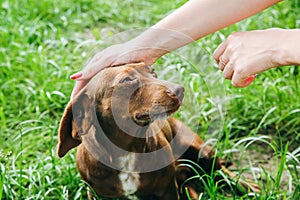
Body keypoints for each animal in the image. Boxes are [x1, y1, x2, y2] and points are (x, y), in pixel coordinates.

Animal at [57, 63, 258, 200]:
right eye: (126, 80)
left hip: (200, 149)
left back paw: (249, 187)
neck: (128, 151)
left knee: (222, 171)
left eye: (152, 72)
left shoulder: (168, 192)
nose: (179, 89)